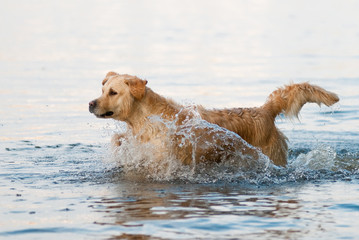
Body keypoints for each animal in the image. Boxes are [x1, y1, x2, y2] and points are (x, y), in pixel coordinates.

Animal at [88, 72, 338, 166]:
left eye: (113, 92)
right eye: (102, 90)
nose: (91, 103)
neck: (147, 118)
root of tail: (264, 110)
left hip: (271, 155)